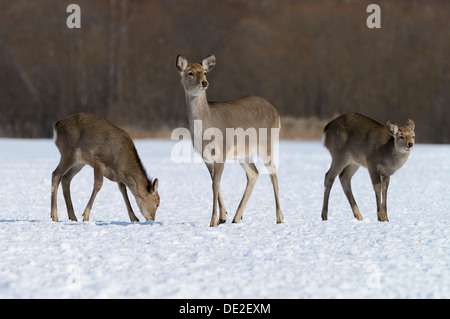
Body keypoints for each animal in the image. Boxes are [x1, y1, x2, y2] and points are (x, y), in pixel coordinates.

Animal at [175, 53, 284, 226]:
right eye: (190, 73)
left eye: (204, 72)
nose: (204, 83)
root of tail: (276, 112)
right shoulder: (206, 157)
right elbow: (214, 182)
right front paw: (222, 216)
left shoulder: (222, 152)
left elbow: (215, 184)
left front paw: (213, 221)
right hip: (244, 153)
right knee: (254, 173)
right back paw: (237, 217)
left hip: (266, 143)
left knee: (273, 172)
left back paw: (279, 217)